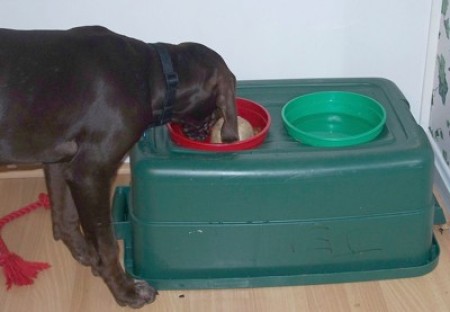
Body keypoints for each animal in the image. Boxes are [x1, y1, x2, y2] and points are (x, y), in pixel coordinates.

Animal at [0, 25, 239, 308]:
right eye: (215, 112)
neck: (153, 75)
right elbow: (108, 244)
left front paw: (89, 257)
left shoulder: (60, 159)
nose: (203, 137)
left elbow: (65, 221)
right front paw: (126, 290)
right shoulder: (90, 173)